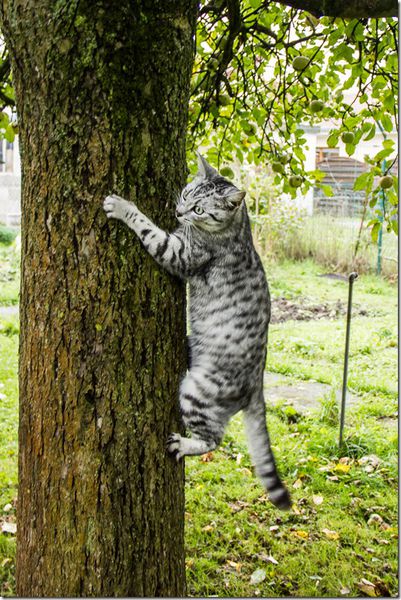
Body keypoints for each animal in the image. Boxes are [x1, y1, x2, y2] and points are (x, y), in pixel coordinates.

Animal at [103, 152, 290, 508]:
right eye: (188, 194)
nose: (179, 212)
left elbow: (146, 227)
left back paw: (184, 444)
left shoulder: (179, 252)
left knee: (213, 440)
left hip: (197, 392)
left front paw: (121, 206)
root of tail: (257, 384)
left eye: (200, 210)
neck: (238, 227)